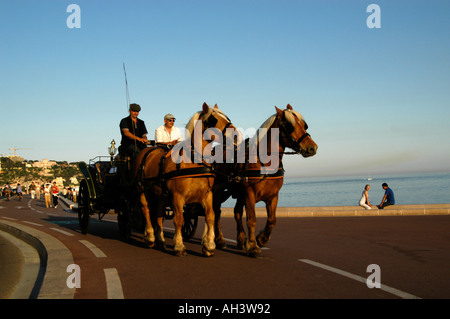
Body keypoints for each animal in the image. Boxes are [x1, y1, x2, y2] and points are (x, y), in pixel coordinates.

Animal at [133, 104, 239, 258]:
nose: (237, 135)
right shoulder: (177, 197)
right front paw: (179, 246)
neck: (195, 161)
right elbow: (179, 219)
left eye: (227, 116)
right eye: (213, 119)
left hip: (160, 195)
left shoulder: (207, 195)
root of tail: (146, 151)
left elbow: (210, 216)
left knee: (158, 214)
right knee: (146, 210)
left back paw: (160, 240)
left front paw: (209, 246)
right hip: (142, 191)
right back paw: (150, 238)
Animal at [214, 105, 316, 258]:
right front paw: (253, 246)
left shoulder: (273, 195)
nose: (312, 148)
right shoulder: (249, 193)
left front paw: (261, 239)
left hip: (239, 194)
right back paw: (219, 239)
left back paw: (241, 238)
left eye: (304, 125)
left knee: (237, 212)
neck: (265, 162)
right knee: (217, 212)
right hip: (220, 190)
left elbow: (272, 220)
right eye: (290, 126)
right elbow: (252, 219)